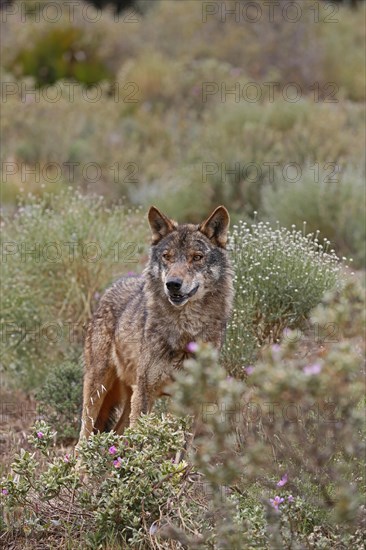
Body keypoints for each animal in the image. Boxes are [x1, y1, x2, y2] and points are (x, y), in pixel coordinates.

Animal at [78, 205, 233, 442]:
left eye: (197, 257)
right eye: (167, 256)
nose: (173, 284)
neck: (183, 333)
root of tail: (113, 286)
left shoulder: (188, 398)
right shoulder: (145, 393)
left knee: (117, 431)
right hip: (98, 387)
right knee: (84, 435)